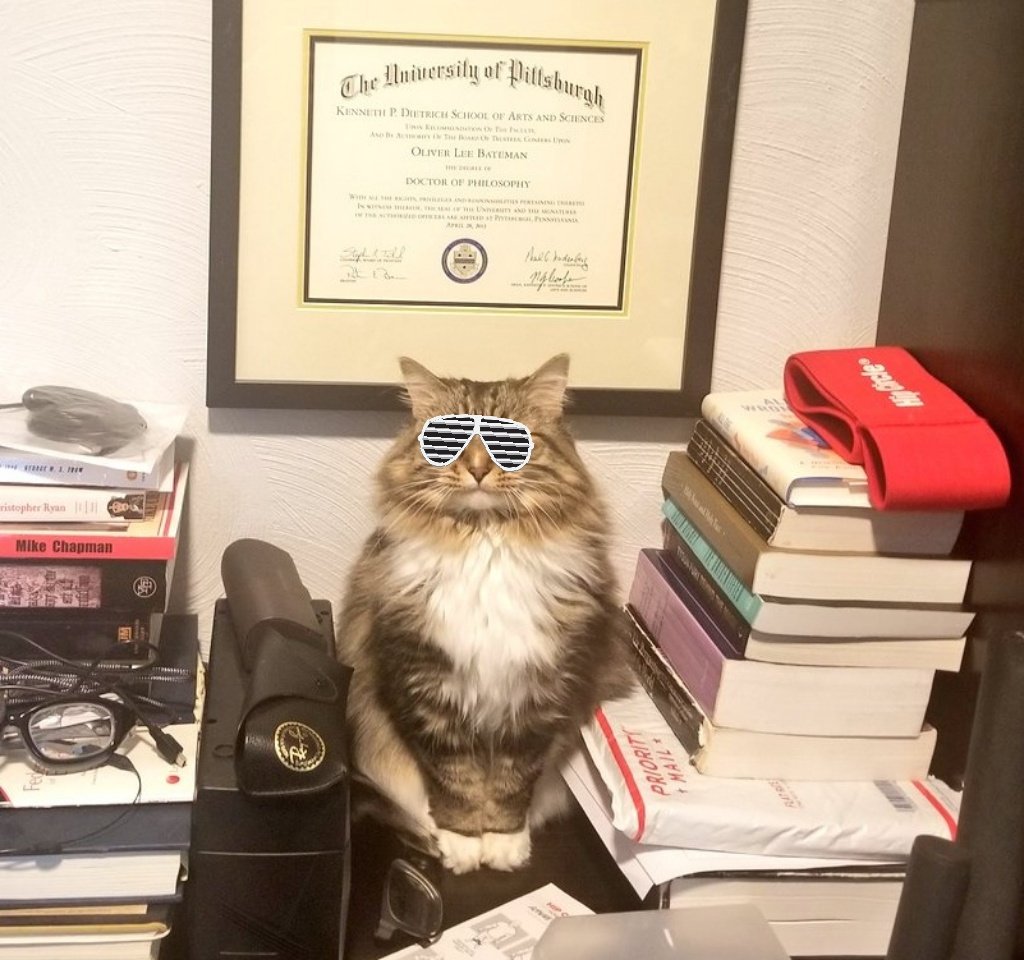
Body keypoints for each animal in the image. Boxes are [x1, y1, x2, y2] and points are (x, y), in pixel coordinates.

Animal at [336, 353, 632, 874]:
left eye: (511, 442)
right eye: (446, 440)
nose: (476, 468)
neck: (485, 543)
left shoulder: (538, 697)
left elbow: (513, 781)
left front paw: (503, 840)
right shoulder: (426, 686)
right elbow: (452, 779)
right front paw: (461, 841)